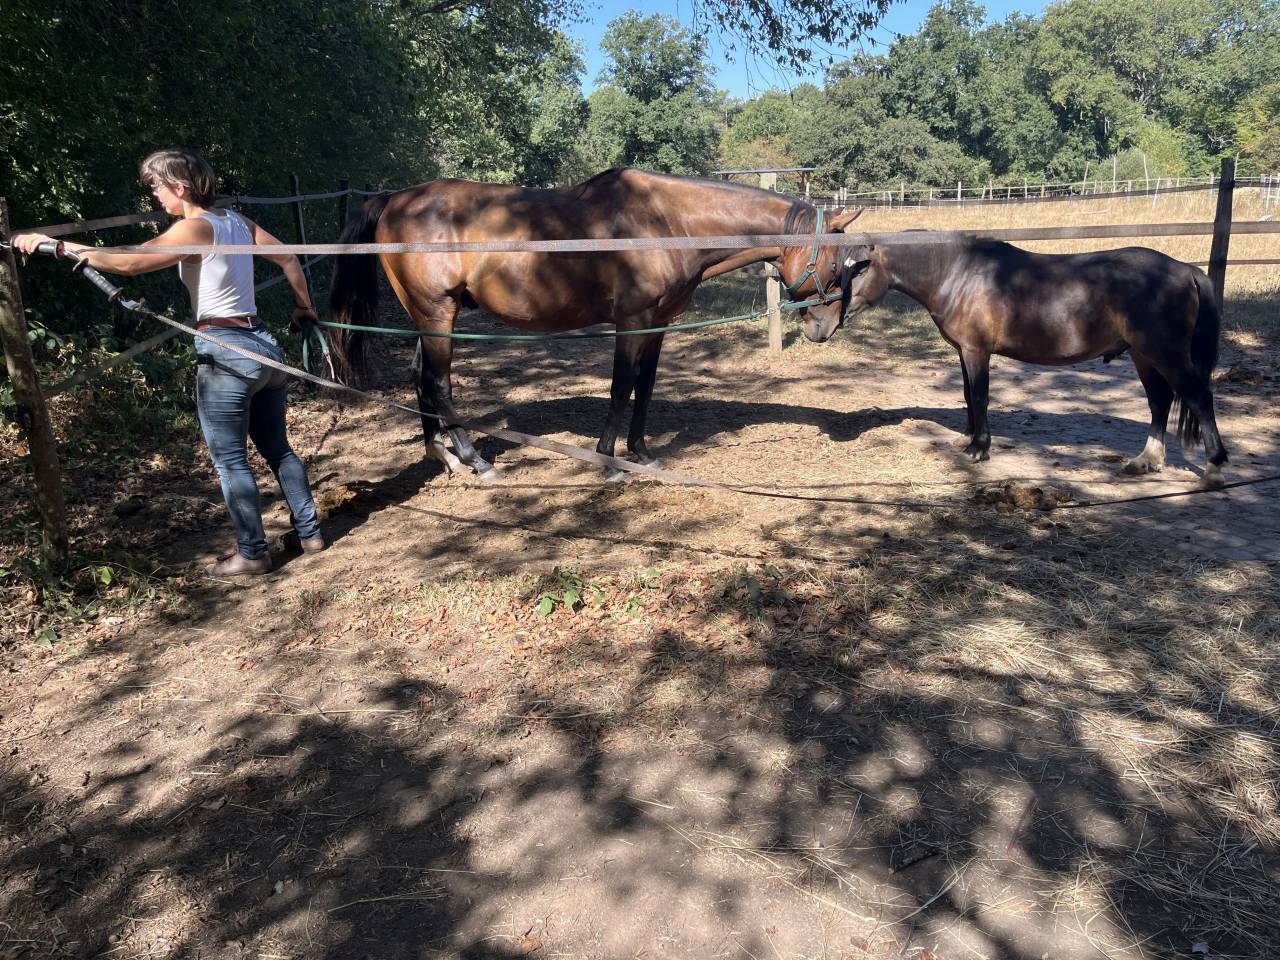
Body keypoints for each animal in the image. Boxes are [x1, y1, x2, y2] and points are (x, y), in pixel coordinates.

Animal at [327, 168, 860, 481]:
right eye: (836, 265)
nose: (827, 328)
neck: (666, 222)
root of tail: (394, 199)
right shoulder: (632, 321)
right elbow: (621, 386)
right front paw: (608, 461)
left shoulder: (657, 325)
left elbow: (644, 387)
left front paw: (641, 452)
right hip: (437, 313)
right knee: (438, 383)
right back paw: (475, 460)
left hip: (429, 315)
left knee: (420, 379)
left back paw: (442, 454)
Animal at [796, 235, 1229, 488]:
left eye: (848, 275)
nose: (814, 326)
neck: (958, 274)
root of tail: (1186, 271)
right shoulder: (963, 351)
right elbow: (968, 397)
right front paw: (970, 439)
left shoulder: (977, 351)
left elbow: (981, 397)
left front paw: (979, 449)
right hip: (1143, 355)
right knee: (1160, 401)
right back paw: (1147, 461)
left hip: (1165, 353)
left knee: (1198, 398)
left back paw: (1213, 467)